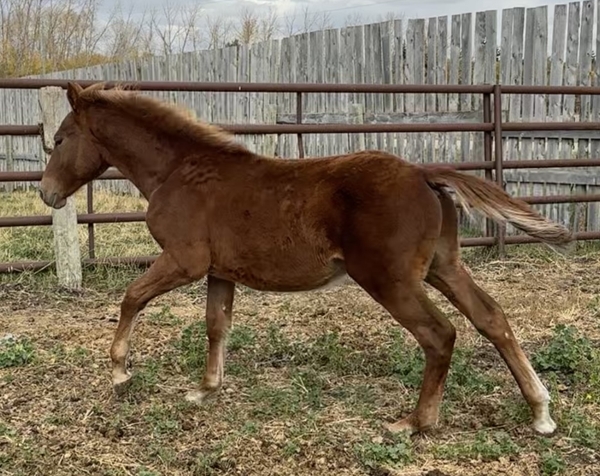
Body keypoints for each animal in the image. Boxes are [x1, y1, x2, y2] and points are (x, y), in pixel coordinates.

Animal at [39, 82, 573, 436]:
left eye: (59, 139)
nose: (47, 194)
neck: (179, 170)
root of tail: (423, 173)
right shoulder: (218, 271)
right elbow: (216, 325)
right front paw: (205, 389)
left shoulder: (184, 261)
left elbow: (132, 297)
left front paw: (119, 372)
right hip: (444, 267)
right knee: (491, 317)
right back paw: (541, 413)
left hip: (390, 279)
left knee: (440, 334)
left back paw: (415, 422)